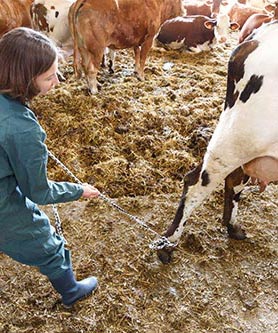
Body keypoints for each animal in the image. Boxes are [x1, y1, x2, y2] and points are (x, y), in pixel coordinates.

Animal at [154, 20, 278, 264]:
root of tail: (255, 38)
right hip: (237, 139)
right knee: (196, 182)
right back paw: (167, 245)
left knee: (235, 179)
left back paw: (233, 227)